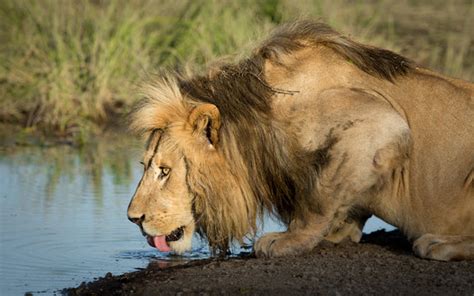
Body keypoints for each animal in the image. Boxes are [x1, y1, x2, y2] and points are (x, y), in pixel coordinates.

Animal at [127, 21, 474, 262]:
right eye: (146, 166)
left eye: (164, 171)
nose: (134, 219)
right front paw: (338, 231)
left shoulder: (381, 123)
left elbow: (319, 195)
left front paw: (290, 239)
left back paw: (439, 244)